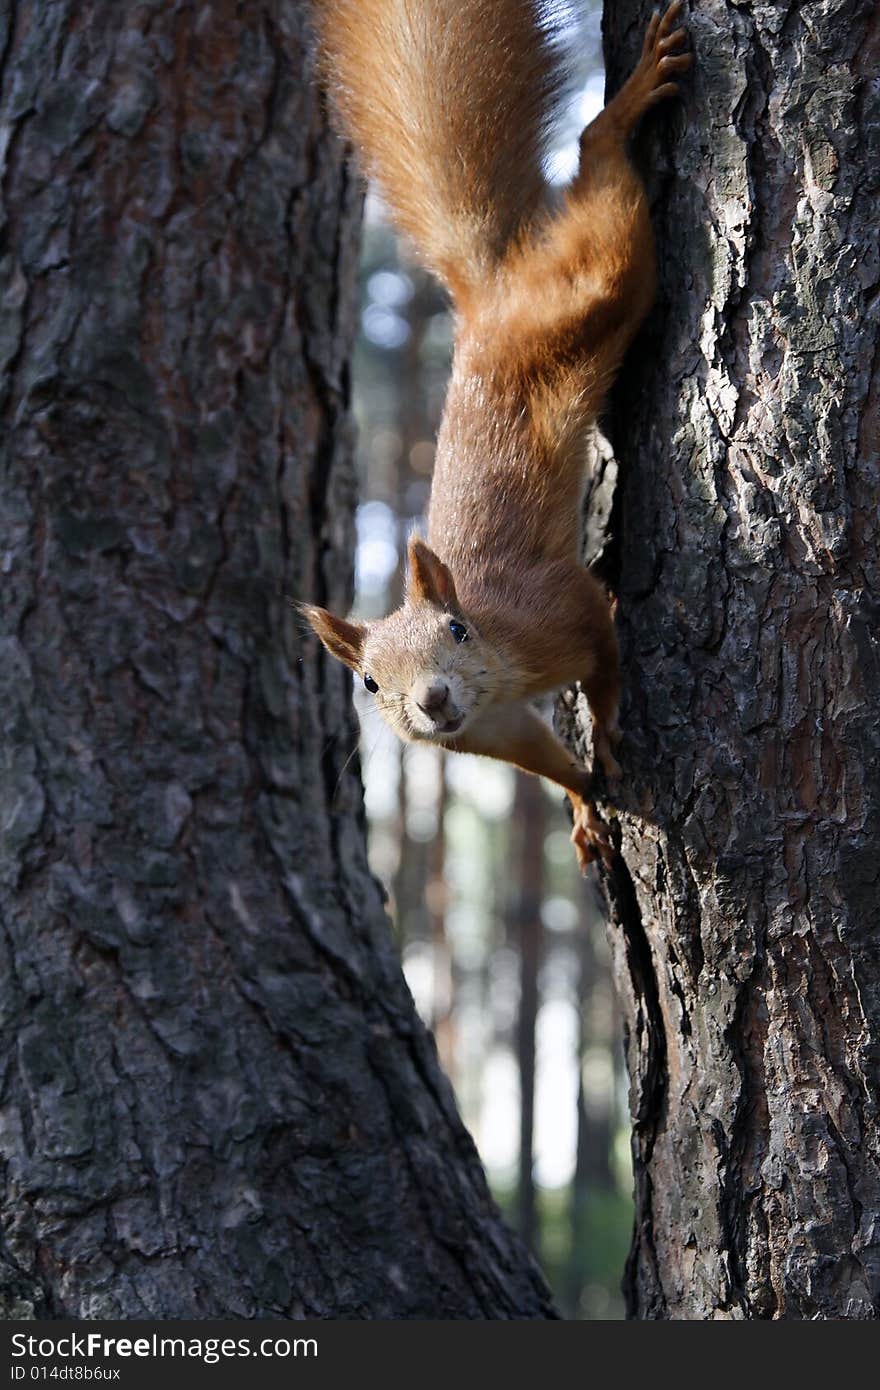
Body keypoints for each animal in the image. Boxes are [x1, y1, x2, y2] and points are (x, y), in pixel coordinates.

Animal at [303, 2, 692, 867]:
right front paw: (582, 804)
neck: (502, 672)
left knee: (603, 192)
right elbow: (549, 764)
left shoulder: (561, 612)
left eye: (458, 628)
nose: (432, 699)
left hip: (596, 289)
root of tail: (487, 295)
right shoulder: (494, 733)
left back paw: (621, 111)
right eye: (368, 684)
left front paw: (607, 731)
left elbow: (604, 648)